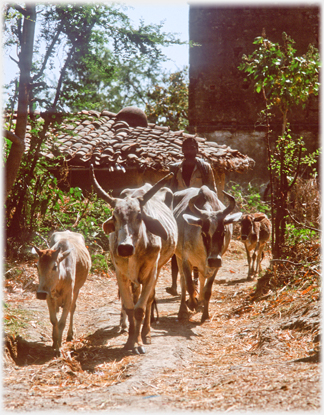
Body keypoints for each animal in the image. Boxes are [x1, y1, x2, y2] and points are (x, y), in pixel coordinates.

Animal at [90, 166, 177, 354]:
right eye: (114, 216)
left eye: (139, 216)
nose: (124, 247)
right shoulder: (120, 273)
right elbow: (130, 307)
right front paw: (130, 341)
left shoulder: (151, 272)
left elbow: (140, 309)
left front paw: (139, 342)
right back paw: (126, 326)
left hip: (158, 268)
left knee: (149, 299)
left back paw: (146, 333)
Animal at [173, 186, 242, 324]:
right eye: (203, 233)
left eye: (223, 232)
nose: (214, 260)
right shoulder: (186, 260)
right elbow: (189, 285)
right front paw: (191, 303)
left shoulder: (215, 265)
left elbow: (207, 291)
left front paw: (205, 315)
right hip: (178, 257)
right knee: (183, 281)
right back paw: (183, 310)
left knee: (201, 278)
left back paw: (199, 303)